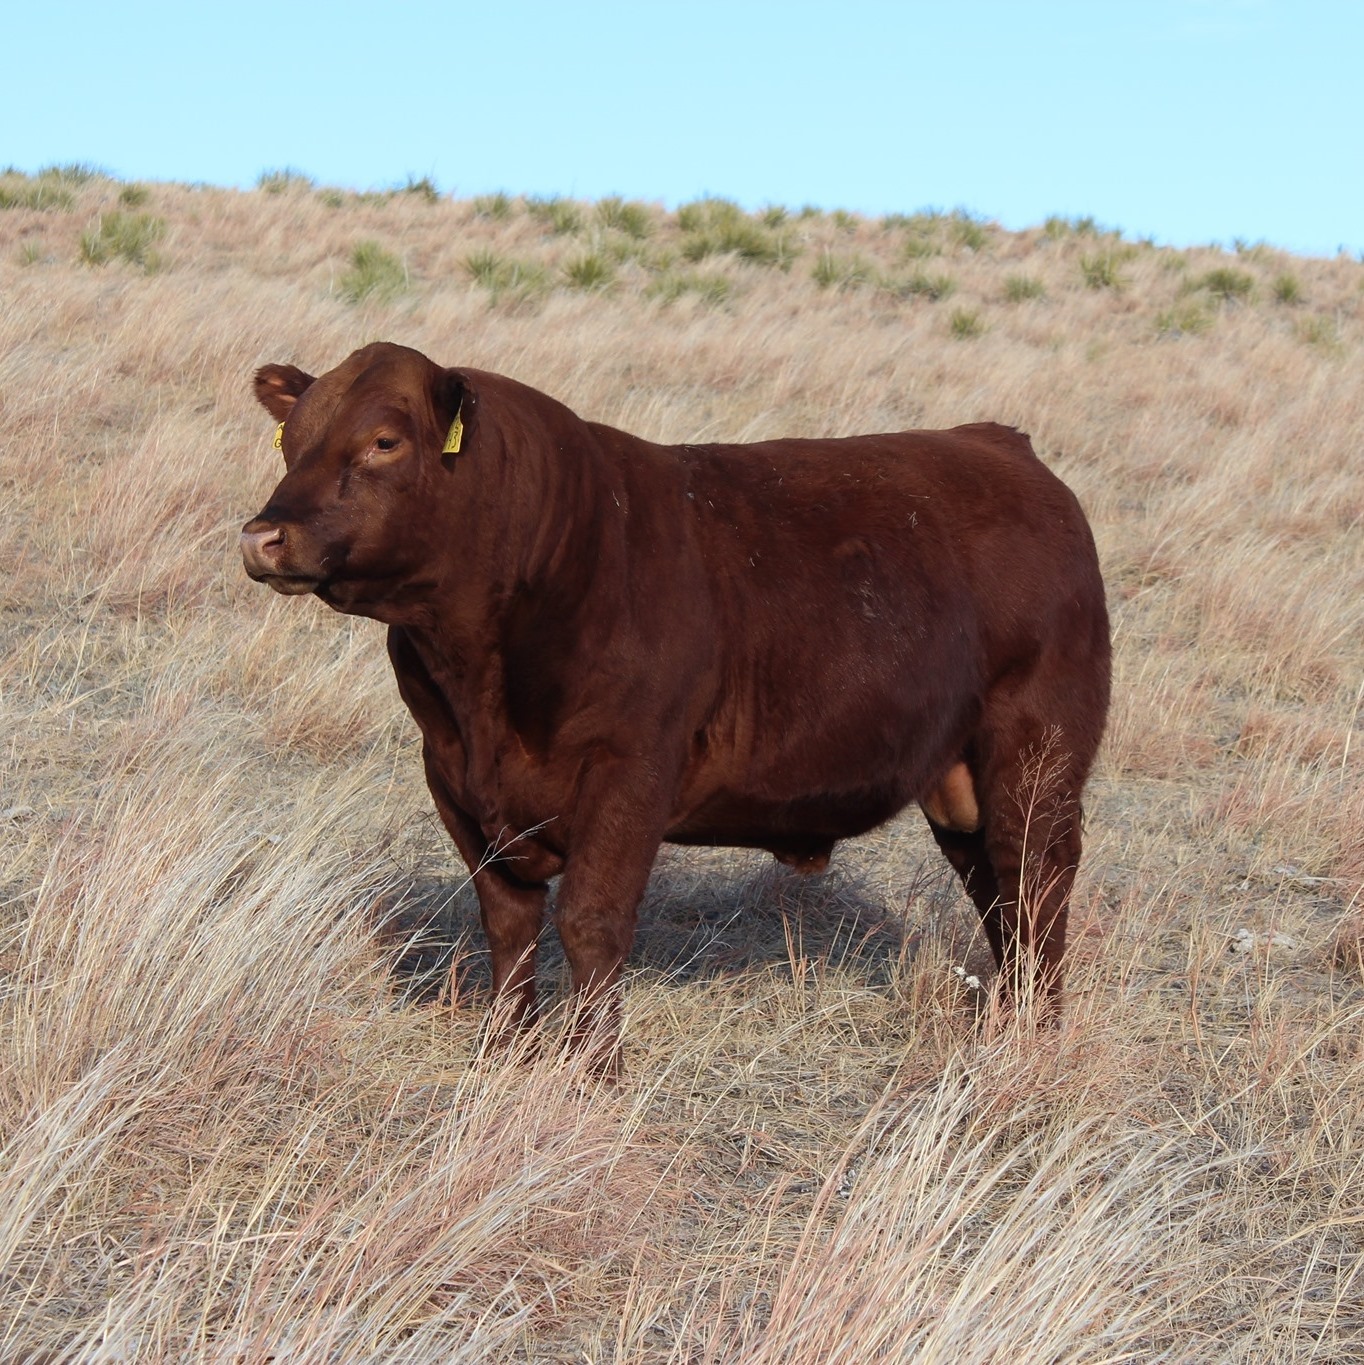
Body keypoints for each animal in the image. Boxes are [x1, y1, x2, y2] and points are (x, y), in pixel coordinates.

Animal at [241, 342, 1110, 1060]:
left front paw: (592, 1072)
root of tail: (997, 442)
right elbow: (507, 920)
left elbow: (590, 920)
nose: (263, 535)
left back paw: (1035, 1031)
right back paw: (1007, 1015)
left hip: (1037, 754)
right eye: (290, 440)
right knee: (998, 893)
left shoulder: (631, 769)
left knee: (1036, 880)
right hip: (957, 781)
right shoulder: (452, 775)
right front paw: (502, 1053)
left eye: (385, 441)